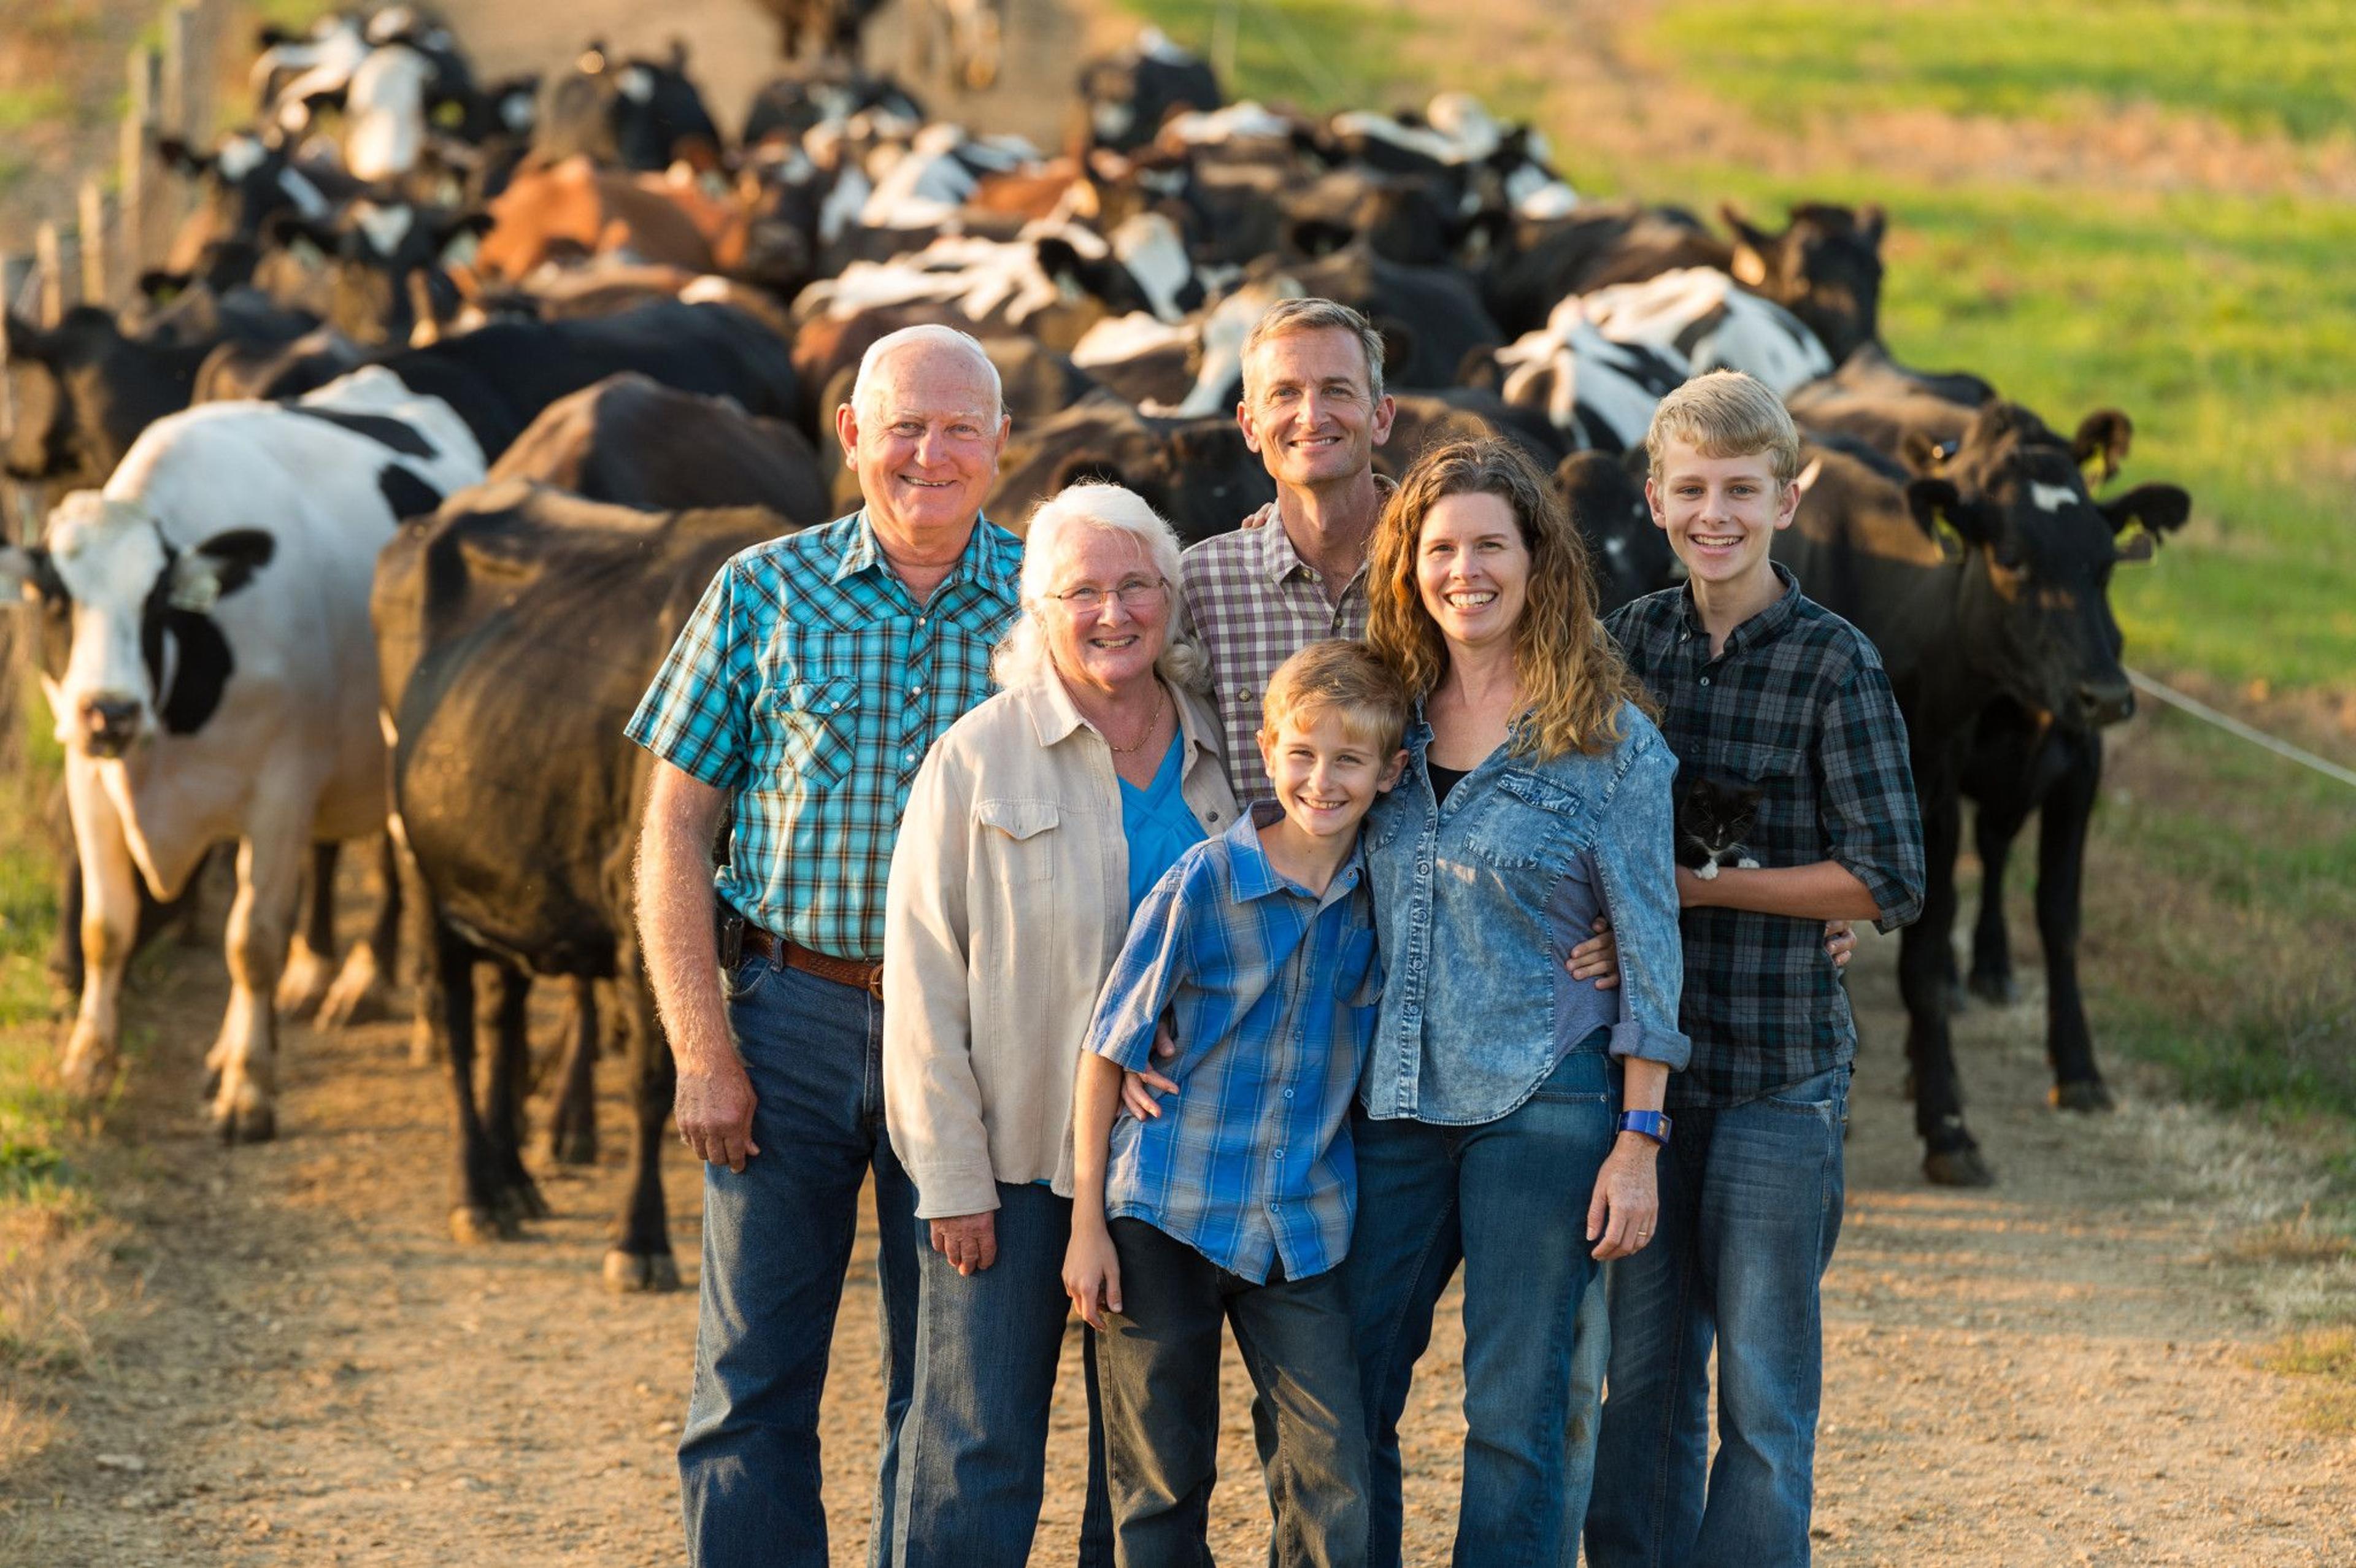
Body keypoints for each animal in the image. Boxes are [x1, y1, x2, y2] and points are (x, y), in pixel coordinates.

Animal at [0, 367, 483, 1134]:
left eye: (158, 602)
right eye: (53, 600)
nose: (109, 711)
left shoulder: (282, 793)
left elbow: (253, 942)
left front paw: (249, 1090)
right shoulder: (88, 779)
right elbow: (106, 927)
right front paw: (89, 1065)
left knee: (394, 875)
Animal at [377, 490, 791, 1280]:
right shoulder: (641, 935)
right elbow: (654, 1081)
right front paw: (639, 1239)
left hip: (508, 885)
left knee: (501, 1016)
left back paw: (513, 1182)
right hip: (422, 878)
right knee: (455, 1029)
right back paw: (475, 1193)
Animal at [1677, 772, 1771, 880]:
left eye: (1733, 830)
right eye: (1707, 826)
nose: (1717, 846)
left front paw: (1745, 863)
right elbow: (1682, 848)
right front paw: (1707, 867)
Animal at [1781, 409, 2186, 1177]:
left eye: (2105, 565)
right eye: (2014, 560)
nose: (2106, 694)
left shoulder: (2056, 775)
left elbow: (2049, 920)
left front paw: (2074, 1071)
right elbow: (1920, 956)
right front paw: (1945, 1124)